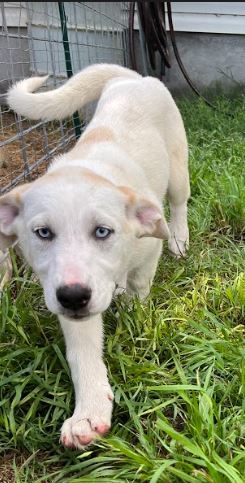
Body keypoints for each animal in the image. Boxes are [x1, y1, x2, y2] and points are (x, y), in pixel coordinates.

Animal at [0, 64, 189, 450]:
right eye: (43, 233)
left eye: (103, 232)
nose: (73, 298)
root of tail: (131, 77)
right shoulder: (69, 295)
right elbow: (82, 353)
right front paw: (88, 414)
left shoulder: (147, 249)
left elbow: (139, 285)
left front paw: (133, 312)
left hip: (178, 165)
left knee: (180, 202)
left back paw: (180, 239)